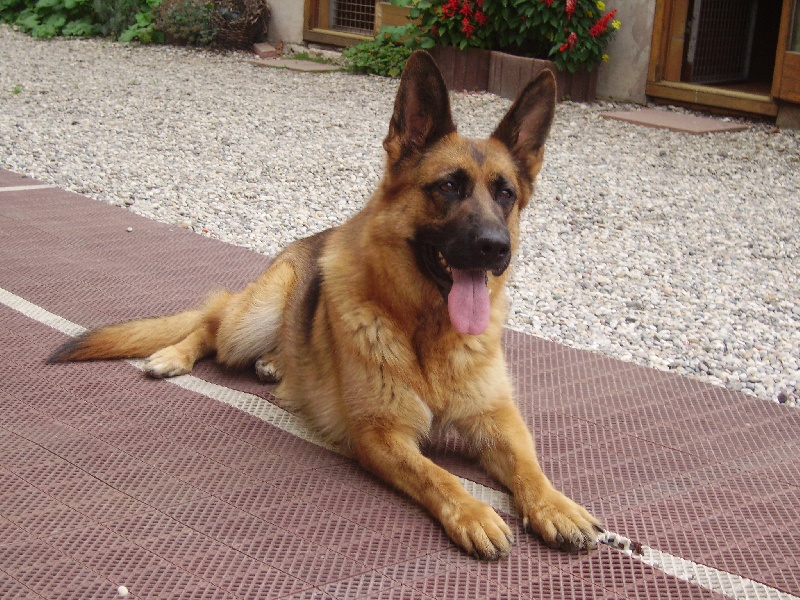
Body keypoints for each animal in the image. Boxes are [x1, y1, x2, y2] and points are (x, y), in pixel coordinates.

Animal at [49, 50, 602, 559]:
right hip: (249, 318)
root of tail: (306, 243)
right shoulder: (379, 435)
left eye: (505, 194)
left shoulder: (499, 418)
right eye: (448, 186)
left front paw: (556, 505)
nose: (495, 248)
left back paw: (276, 364)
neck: (427, 331)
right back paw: (175, 355)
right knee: (211, 319)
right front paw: (473, 512)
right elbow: (437, 474)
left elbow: (529, 465)